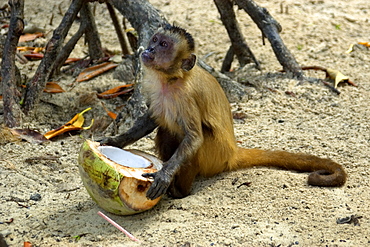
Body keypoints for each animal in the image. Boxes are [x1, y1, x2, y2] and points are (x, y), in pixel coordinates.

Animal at [99, 23, 346, 201]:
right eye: (155, 40)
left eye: (164, 45)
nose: (149, 49)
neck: (171, 79)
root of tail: (233, 152)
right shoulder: (153, 86)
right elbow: (151, 119)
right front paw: (116, 141)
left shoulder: (186, 97)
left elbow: (194, 138)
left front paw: (164, 175)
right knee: (167, 129)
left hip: (215, 157)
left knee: (192, 137)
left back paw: (181, 192)